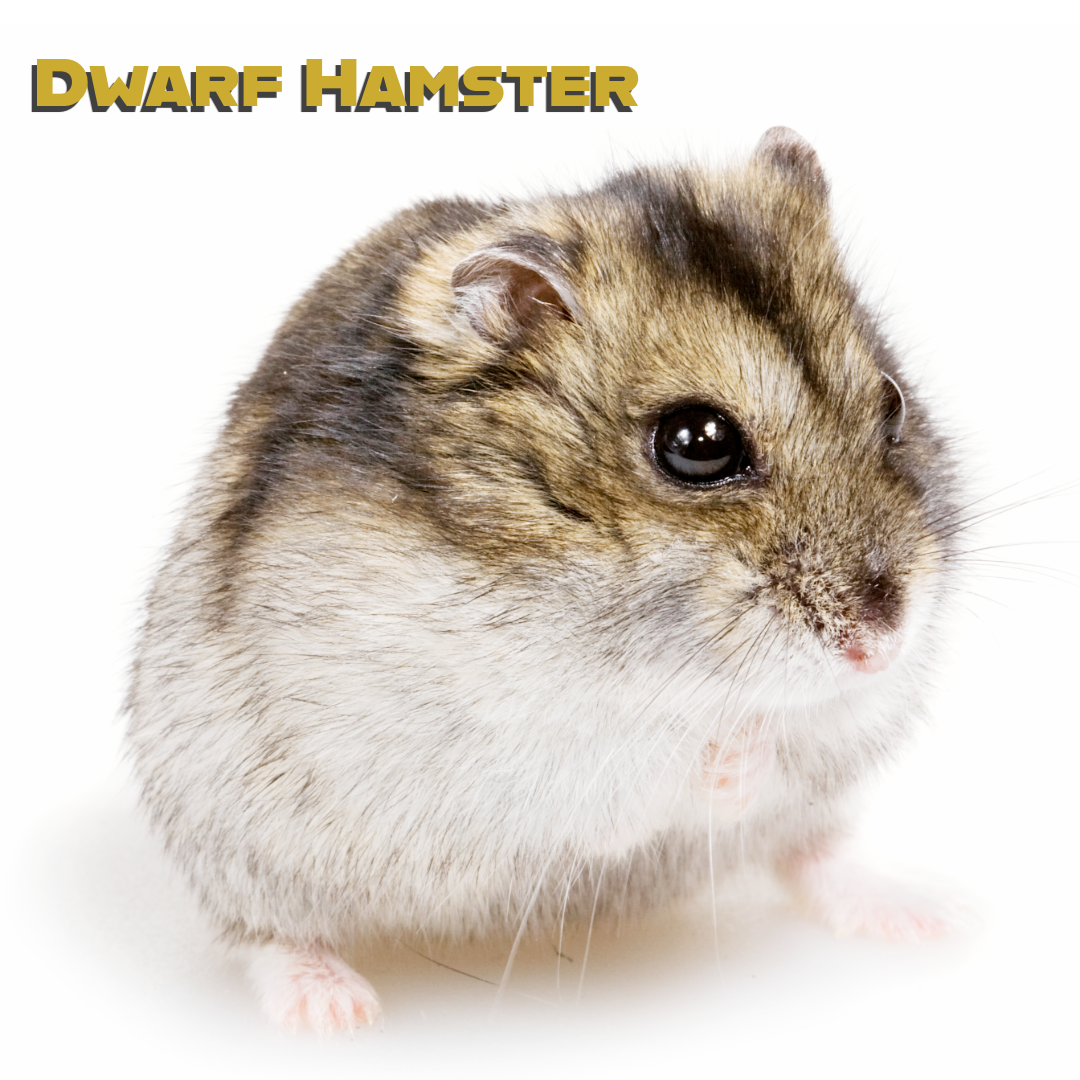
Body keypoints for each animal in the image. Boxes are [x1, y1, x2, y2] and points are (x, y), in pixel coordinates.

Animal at [125, 127, 965, 1032]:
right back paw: (333, 1009)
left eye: (893, 403)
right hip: (239, 846)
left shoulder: (865, 707)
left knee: (807, 855)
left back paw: (924, 918)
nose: (879, 644)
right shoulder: (510, 743)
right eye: (697, 442)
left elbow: (811, 734)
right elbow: (658, 762)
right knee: (265, 934)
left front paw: (766, 735)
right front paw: (731, 748)